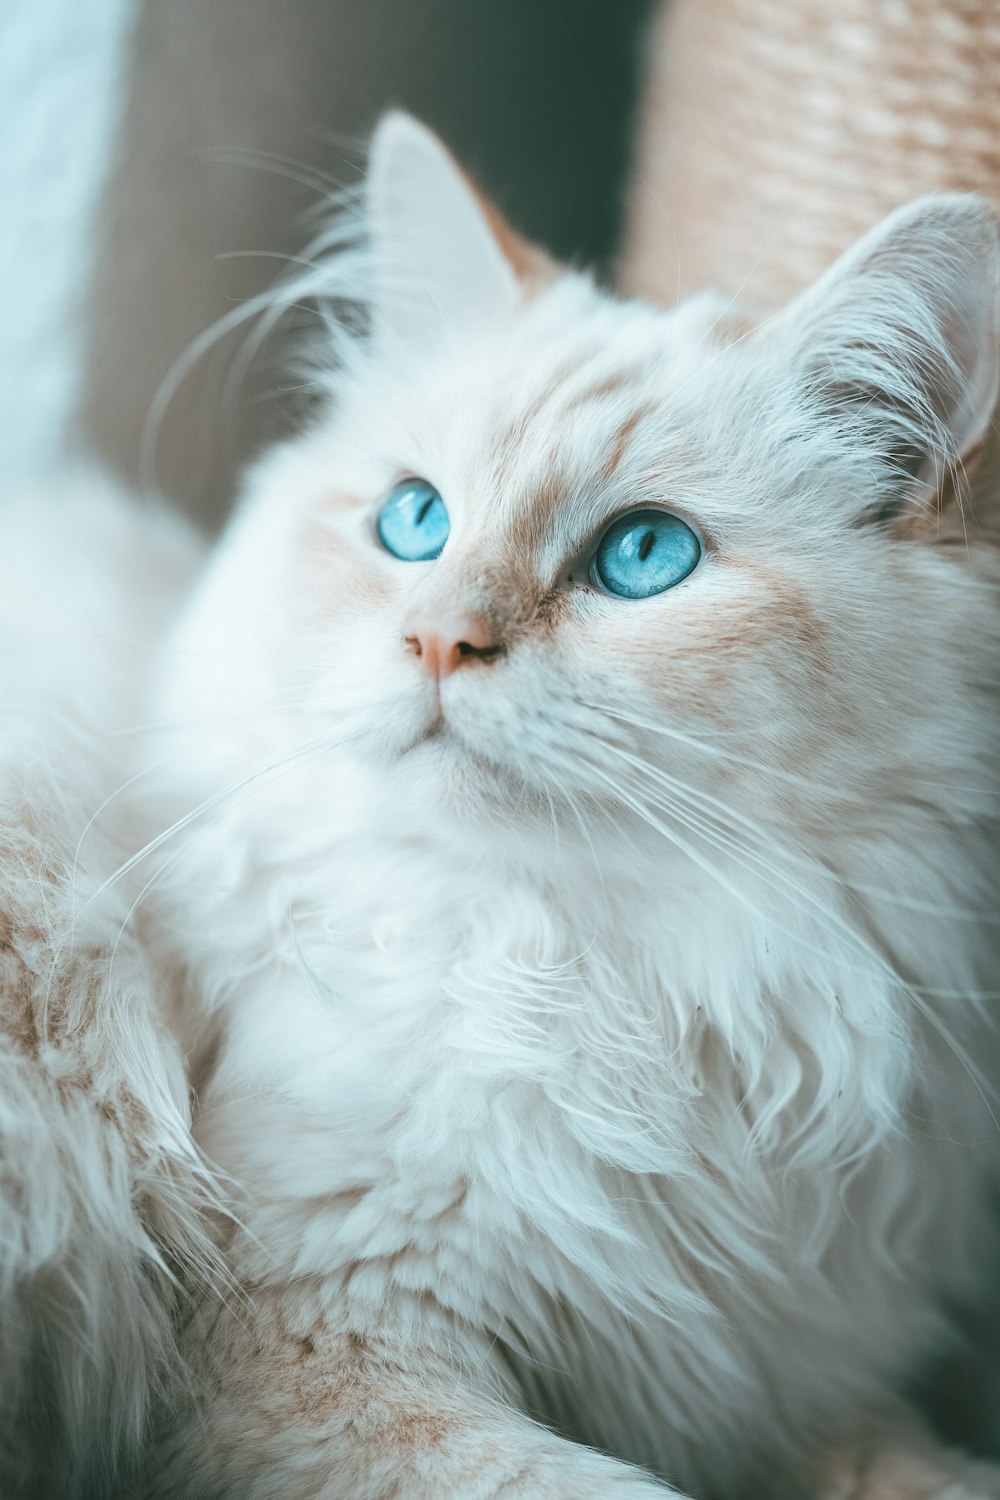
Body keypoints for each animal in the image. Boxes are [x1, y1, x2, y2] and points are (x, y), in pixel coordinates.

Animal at [1, 111, 1000, 1494]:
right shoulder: (321, 1346)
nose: (436, 640)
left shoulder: (790, 1389)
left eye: (644, 556)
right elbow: (599, 1485)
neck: (602, 976)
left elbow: (920, 1467)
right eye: (414, 521)